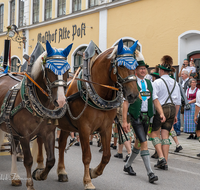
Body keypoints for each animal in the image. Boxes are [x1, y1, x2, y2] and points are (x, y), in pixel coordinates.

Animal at [0, 42, 72, 190]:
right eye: (49, 70)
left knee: (13, 149)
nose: (61, 101)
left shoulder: (48, 133)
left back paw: (15, 177)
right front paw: (30, 185)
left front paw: (39, 174)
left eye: (68, 70)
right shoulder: (24, 135)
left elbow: (51, 160)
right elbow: (28, 160)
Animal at [34, 41, 139, 189]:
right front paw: (88, 181)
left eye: (136, 65)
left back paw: (61, 172)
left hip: (66, 125)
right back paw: (39, 166)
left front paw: (94, 172)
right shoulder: (84, 129)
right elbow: (87, 156)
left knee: (61, 145)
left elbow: (106, 155)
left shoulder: (106, 128)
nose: (133, 95)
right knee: (40, 141)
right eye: (121, 65)